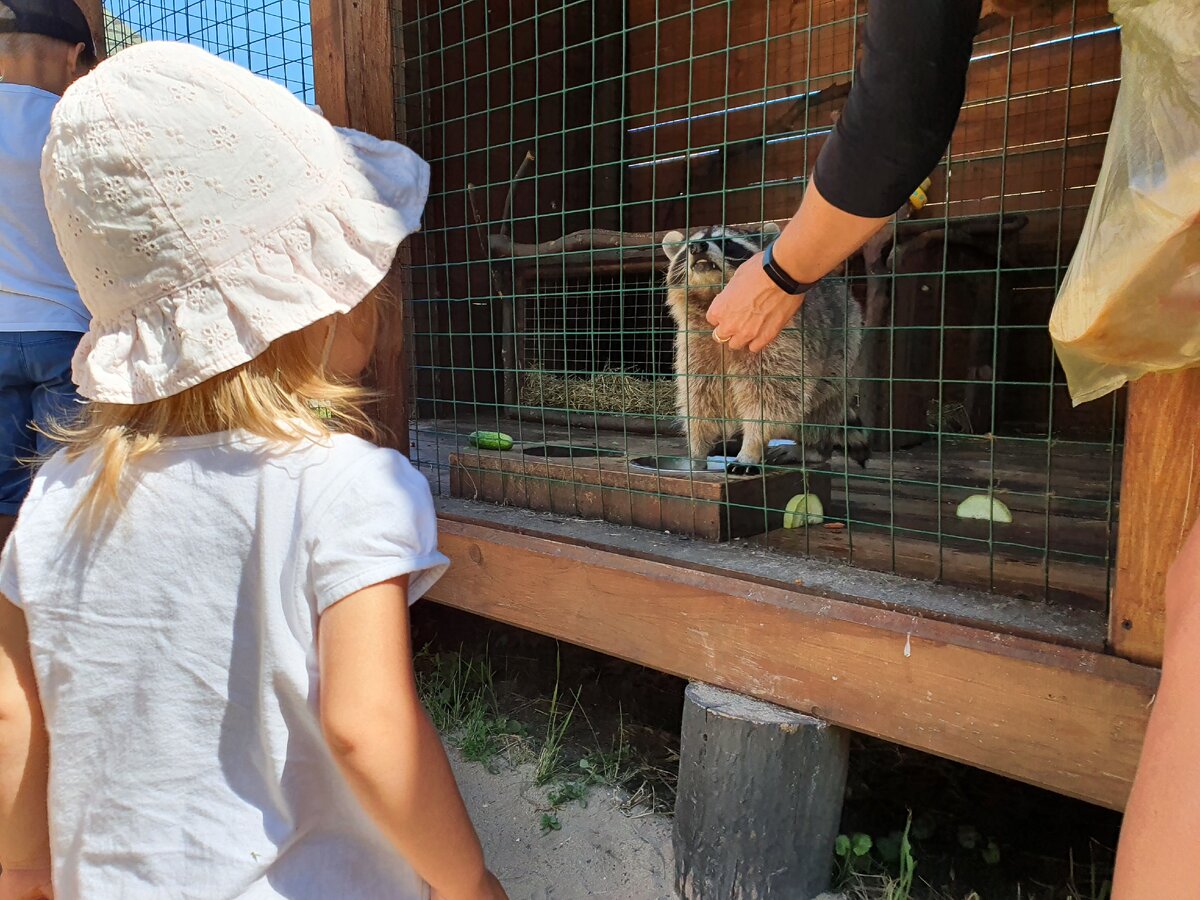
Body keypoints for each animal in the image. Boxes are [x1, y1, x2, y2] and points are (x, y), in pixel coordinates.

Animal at [662, 224, 868, 472]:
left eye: (727, 242)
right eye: (687, 248)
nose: (697, 248)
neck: (712, 296)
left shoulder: (775, 337)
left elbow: (770, 398)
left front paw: (751, 447)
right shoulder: (694, 343)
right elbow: (699, 398)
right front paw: (698, 450)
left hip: (847, 346)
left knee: (824, 405)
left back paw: (812, 449)